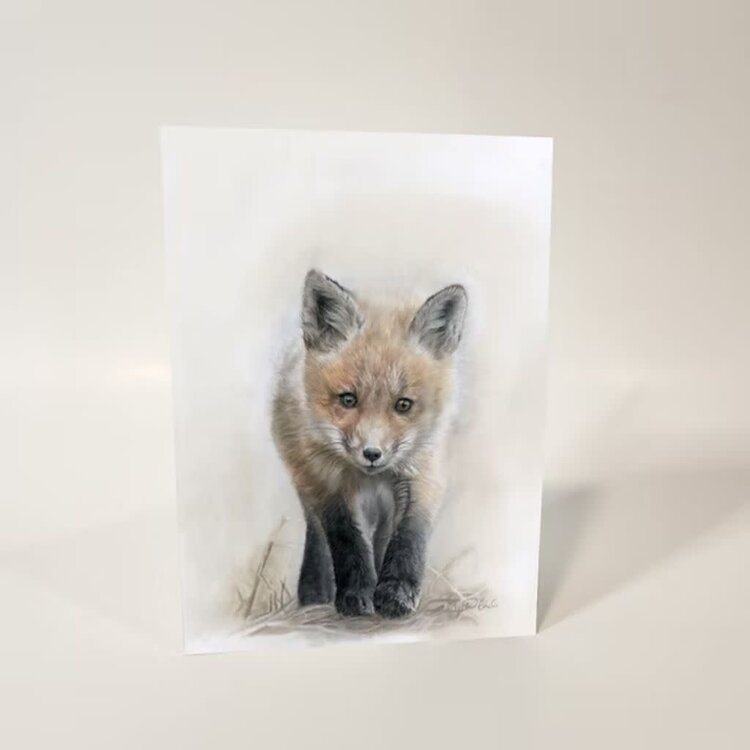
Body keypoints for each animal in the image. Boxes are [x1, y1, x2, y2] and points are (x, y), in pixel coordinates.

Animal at [271, 269, 467, 618]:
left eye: (403, 405)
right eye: (348, 399)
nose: (372, 454)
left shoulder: (423, 472)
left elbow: (408, 539)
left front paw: (395, 593)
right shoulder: (328, 481)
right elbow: (346, 540)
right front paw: (356, 594)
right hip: (305, 477)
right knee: (319, 535)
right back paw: (316, 594)